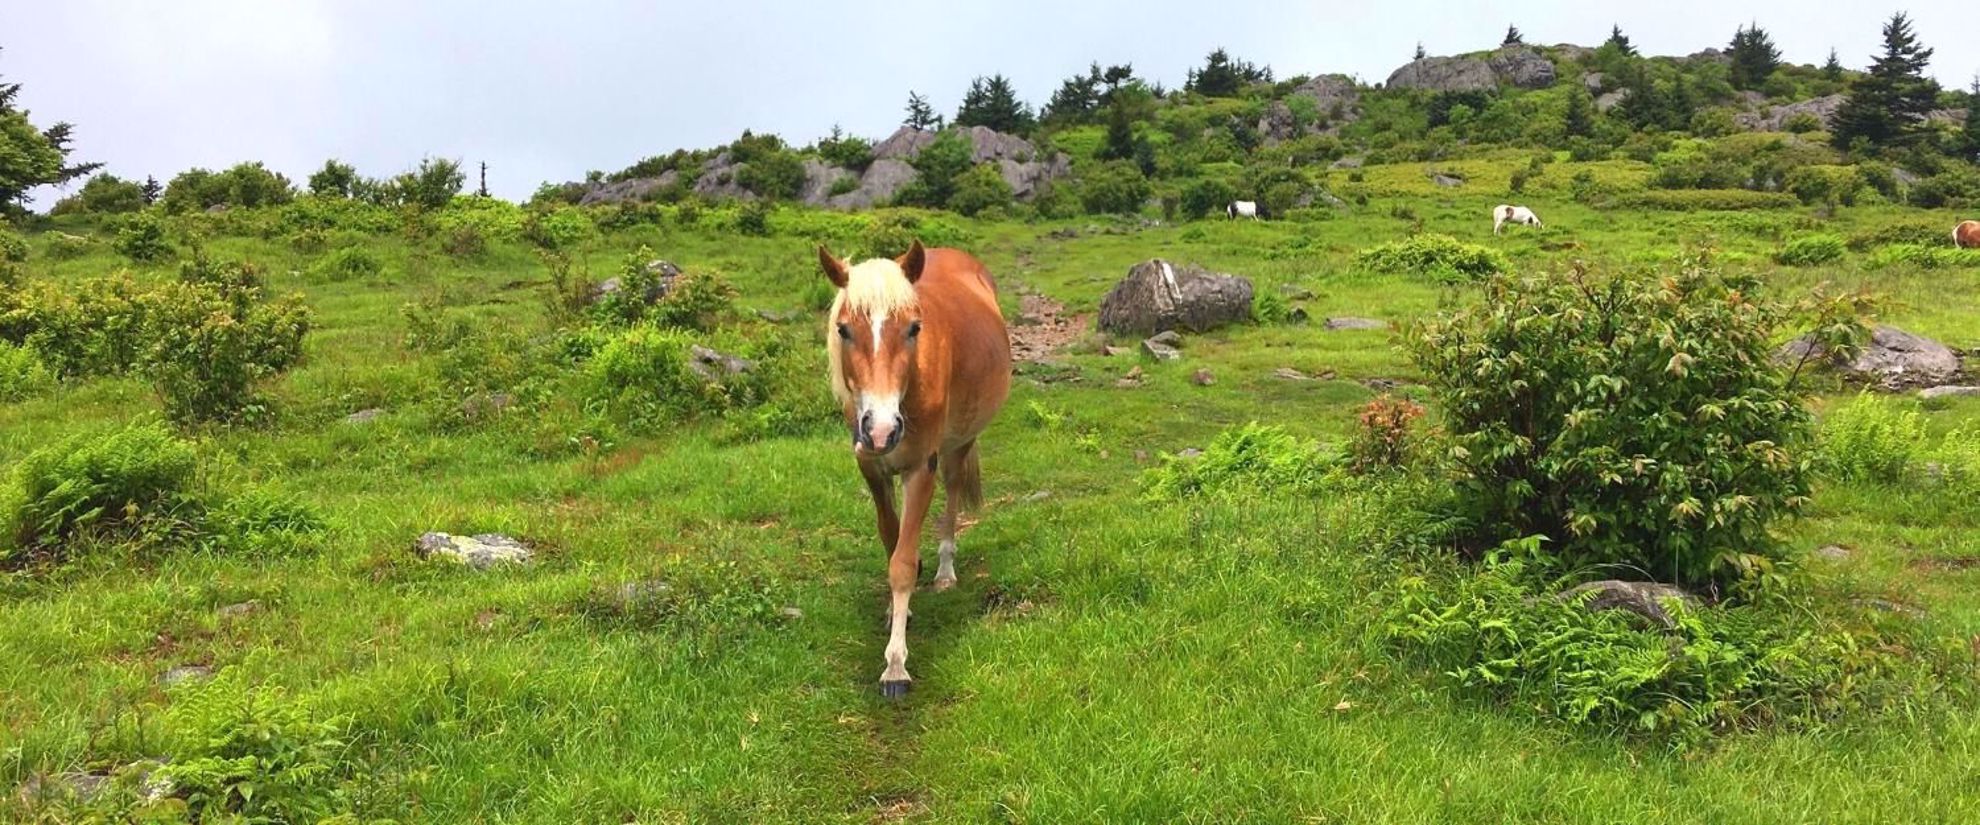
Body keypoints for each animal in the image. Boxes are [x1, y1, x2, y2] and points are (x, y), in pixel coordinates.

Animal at [815, 237, 1013, 696]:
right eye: (843, 329)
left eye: (913, 328)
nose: (883, 429)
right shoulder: (871, 467)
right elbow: (892, 541)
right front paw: (897, 612)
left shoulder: (921, 468)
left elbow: (902, 565)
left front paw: (895, 664)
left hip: (960, 443)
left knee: (953, 490)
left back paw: (943, 571)